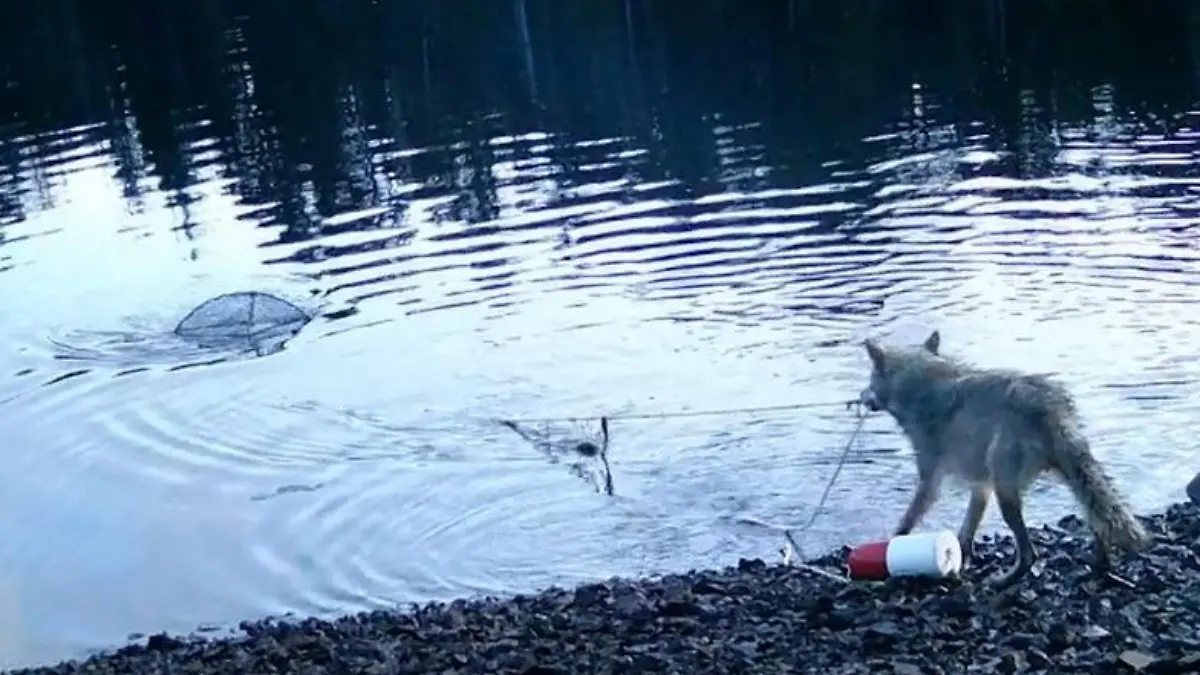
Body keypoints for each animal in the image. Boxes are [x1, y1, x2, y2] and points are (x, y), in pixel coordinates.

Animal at [857, 330, 1150, 588]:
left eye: (869, 381)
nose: (860, 397)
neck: (917, 386)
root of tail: (1048, 405)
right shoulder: (980, 486)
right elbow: (966, 532)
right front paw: (960, 561)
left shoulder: (932, 480)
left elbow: (909, 519)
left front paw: (892, 545)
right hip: (1068, 475)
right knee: (1098, 523)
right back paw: (1101, 567)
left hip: (1007, 492)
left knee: (1030, 554)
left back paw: (1004, 581)